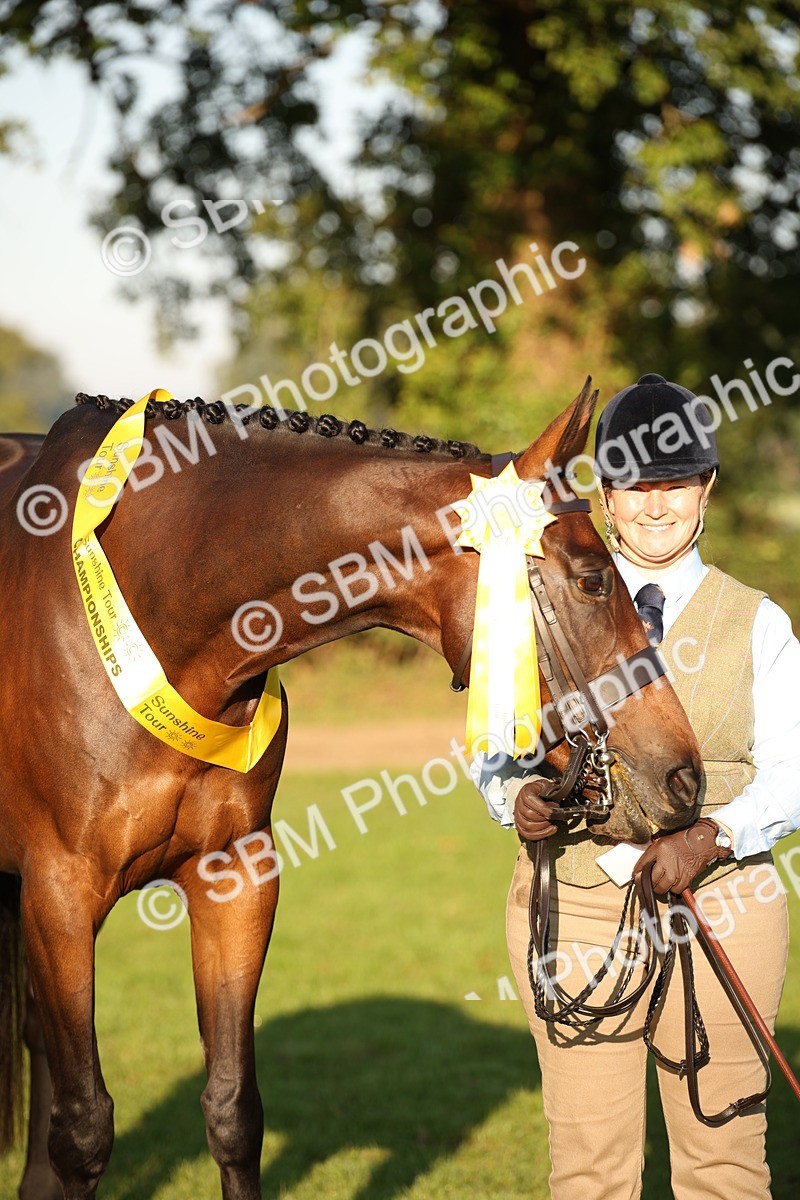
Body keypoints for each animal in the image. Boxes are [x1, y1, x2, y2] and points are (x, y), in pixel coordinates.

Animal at [0, 379, 702, 1199]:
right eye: (593, 581)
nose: (683, 774)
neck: (158, 612)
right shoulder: (61, 894)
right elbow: (84, 1127)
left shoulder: (235, 879)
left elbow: (232, 1110)